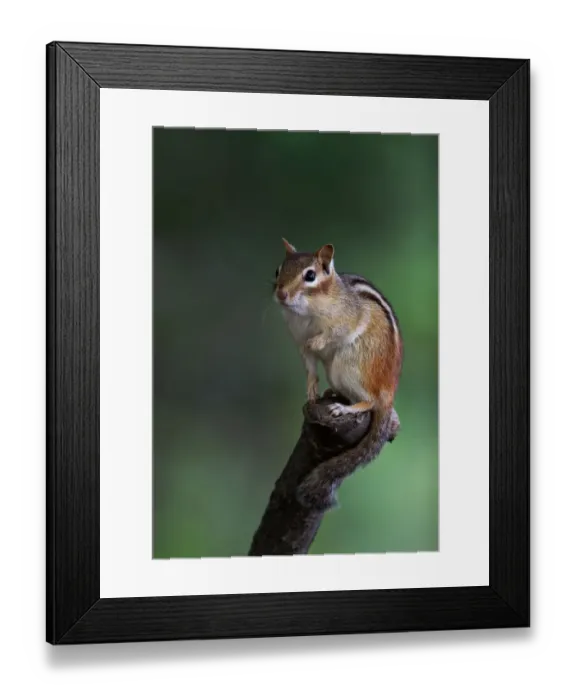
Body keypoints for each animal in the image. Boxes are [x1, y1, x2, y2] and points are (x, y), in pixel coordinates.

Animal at [274, 237, 403, 511]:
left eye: (310, 275)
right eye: (278, 270)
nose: (280, 294)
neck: (307, 311)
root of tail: (389, 392)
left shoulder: (349, 317)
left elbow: (335, 332)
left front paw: (318, 341)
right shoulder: (298, 342)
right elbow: (310, 367)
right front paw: (311, 391)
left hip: (349, 365)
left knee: (371, 401)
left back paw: (345, 408)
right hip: (336, 372)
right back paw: (331, 393)